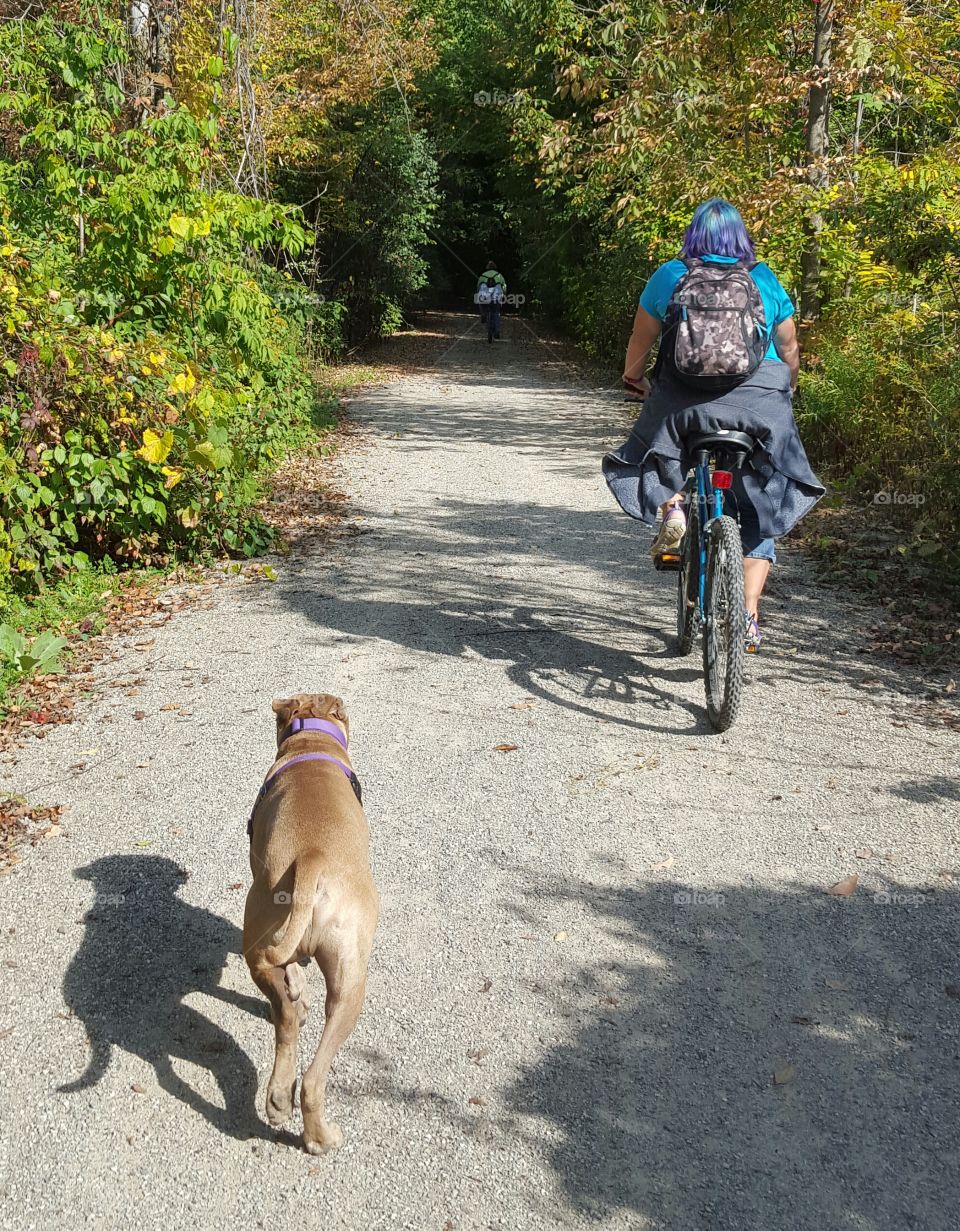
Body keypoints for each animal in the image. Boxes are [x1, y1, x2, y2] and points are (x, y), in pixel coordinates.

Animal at [243, 694, 379, 1152]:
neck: (311, 741)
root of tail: (312, 856)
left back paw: (279, 1100)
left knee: (286, 1022)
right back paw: (321, 1138)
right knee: (314, 1079)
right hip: (352, 985)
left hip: (267, 948)